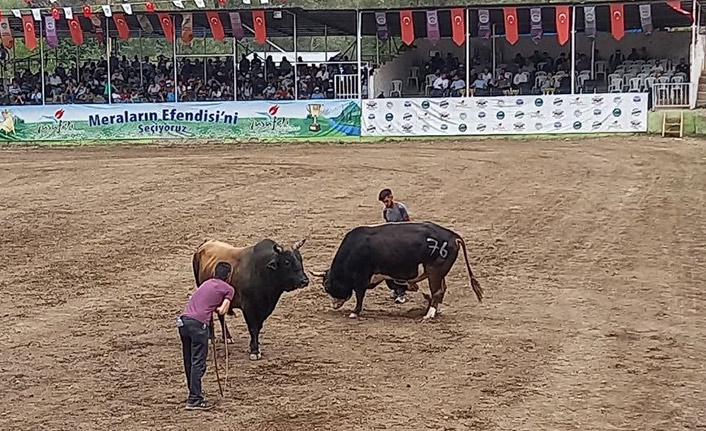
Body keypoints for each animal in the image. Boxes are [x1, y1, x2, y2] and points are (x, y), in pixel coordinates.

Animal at [312, 224, 482, 318]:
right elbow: (395, 285)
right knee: (442, 289)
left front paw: (355, 312)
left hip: (435, 272)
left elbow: (360, 295)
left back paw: (429, 315)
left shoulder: (361, 278)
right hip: (438, 274)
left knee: (438, 291)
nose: (333, 305)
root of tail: (453, 236)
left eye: (327, 286)